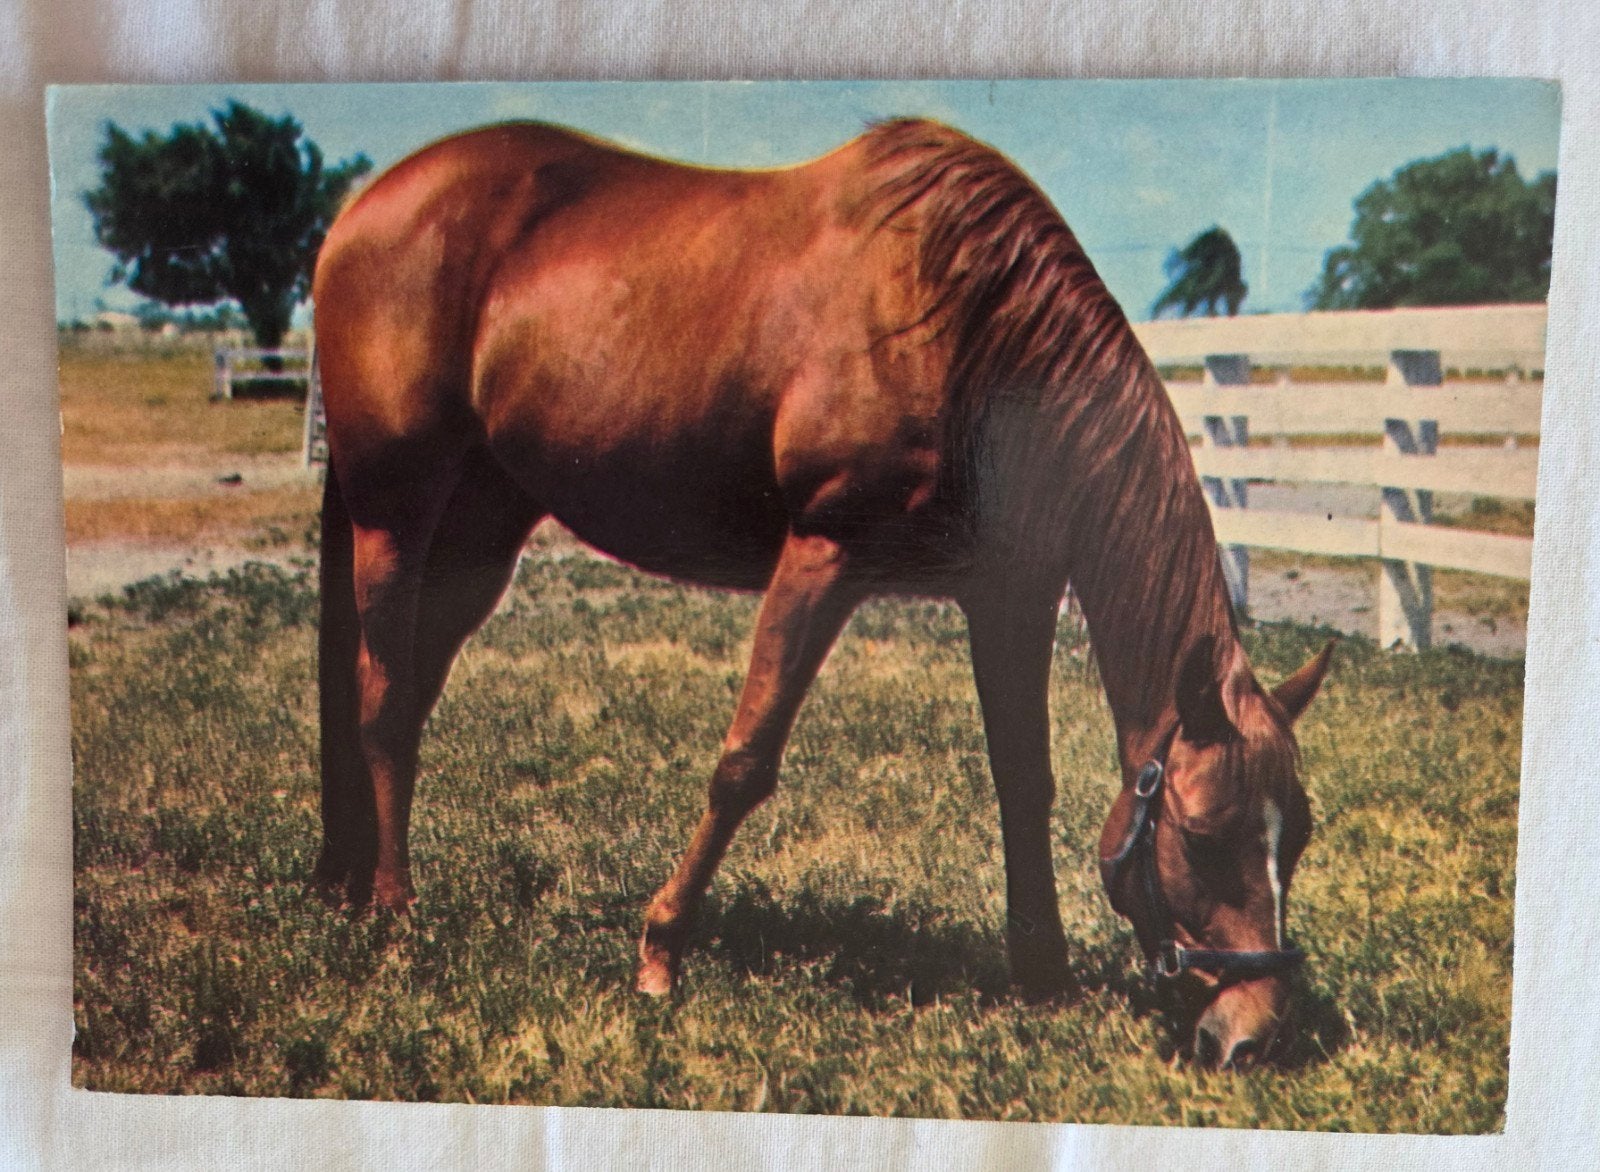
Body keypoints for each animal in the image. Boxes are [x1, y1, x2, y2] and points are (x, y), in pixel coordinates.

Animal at [311, 117, 1333, 1069]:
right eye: (1202, 835)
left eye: (1299, 837)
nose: (1255, 1035)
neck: (968, 321)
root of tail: (367, 209)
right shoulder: (823, 556)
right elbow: (744, 763)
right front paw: (660, 951)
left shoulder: (1010, 592)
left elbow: (1023, 778)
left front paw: (1041, 974)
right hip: (395, 516)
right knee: (385, 702)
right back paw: (396, 912)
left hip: (481, 533)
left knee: (403, 692)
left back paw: (352, 885)